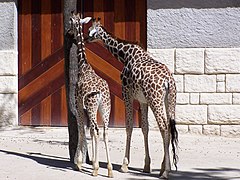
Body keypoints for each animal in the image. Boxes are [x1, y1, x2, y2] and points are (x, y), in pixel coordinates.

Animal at [66, 13, 113, 178]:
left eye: (71, 22)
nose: (68, 33)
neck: (83, 65)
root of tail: (100, 93)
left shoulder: (79, 103)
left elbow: (81, 128)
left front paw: (79, 162)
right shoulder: (87, 107)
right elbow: (90, 131)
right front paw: (91, 161)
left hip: (93, 106)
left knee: (97, 130)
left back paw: (96, 169)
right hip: (105, 108)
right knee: (104, 131)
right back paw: (110, 170)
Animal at [87, 18, 178, 179]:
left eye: (91, 30)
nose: (86, 39)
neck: (126, 56)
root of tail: (168, 80)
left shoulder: (126, 94)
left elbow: (129, 126)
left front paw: (124, 165)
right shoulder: (142, 100)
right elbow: (145, 128)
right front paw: (147, 165)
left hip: (155, 99)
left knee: (163, 127)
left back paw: (166, 171)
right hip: (169, 100)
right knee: (169, 125)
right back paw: (163, 168)